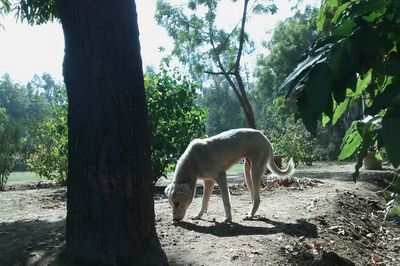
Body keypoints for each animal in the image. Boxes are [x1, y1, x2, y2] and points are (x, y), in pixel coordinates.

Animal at [165, 128, 294, 222]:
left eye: (177, 203)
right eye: (171, 205)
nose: (175, 220)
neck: (192, 161)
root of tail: (265, 137)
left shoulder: (221, 176)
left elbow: (225, 201)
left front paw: (228, 219)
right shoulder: (209, 181)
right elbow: (204, 202)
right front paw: (198, 216)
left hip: (255, 170)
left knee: (257, 199)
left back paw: (250, 215)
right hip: (247, 171)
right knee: (254, 197)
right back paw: (251, 213)